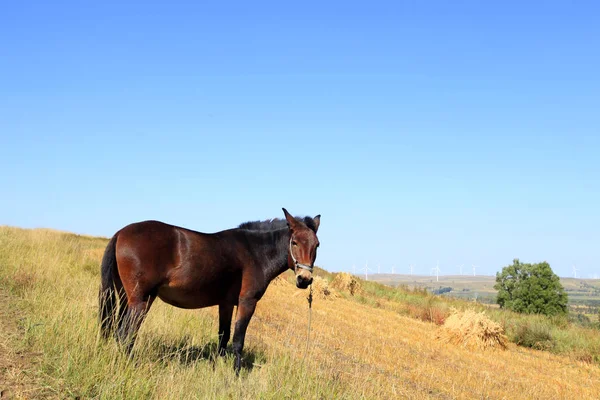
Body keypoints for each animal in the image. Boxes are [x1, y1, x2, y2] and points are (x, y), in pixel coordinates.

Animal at [98, 208, 322, 374]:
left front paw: (217, 367)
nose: (304, 280)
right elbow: (238, 340)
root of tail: (121, 233)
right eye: (294, 242)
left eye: (317, 245)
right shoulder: (247, 302)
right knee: (125, 333)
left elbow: (223, 337)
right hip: (141, 301)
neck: (254, 253)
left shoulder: (225, 303)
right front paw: (236, 375)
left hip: (126, 298)